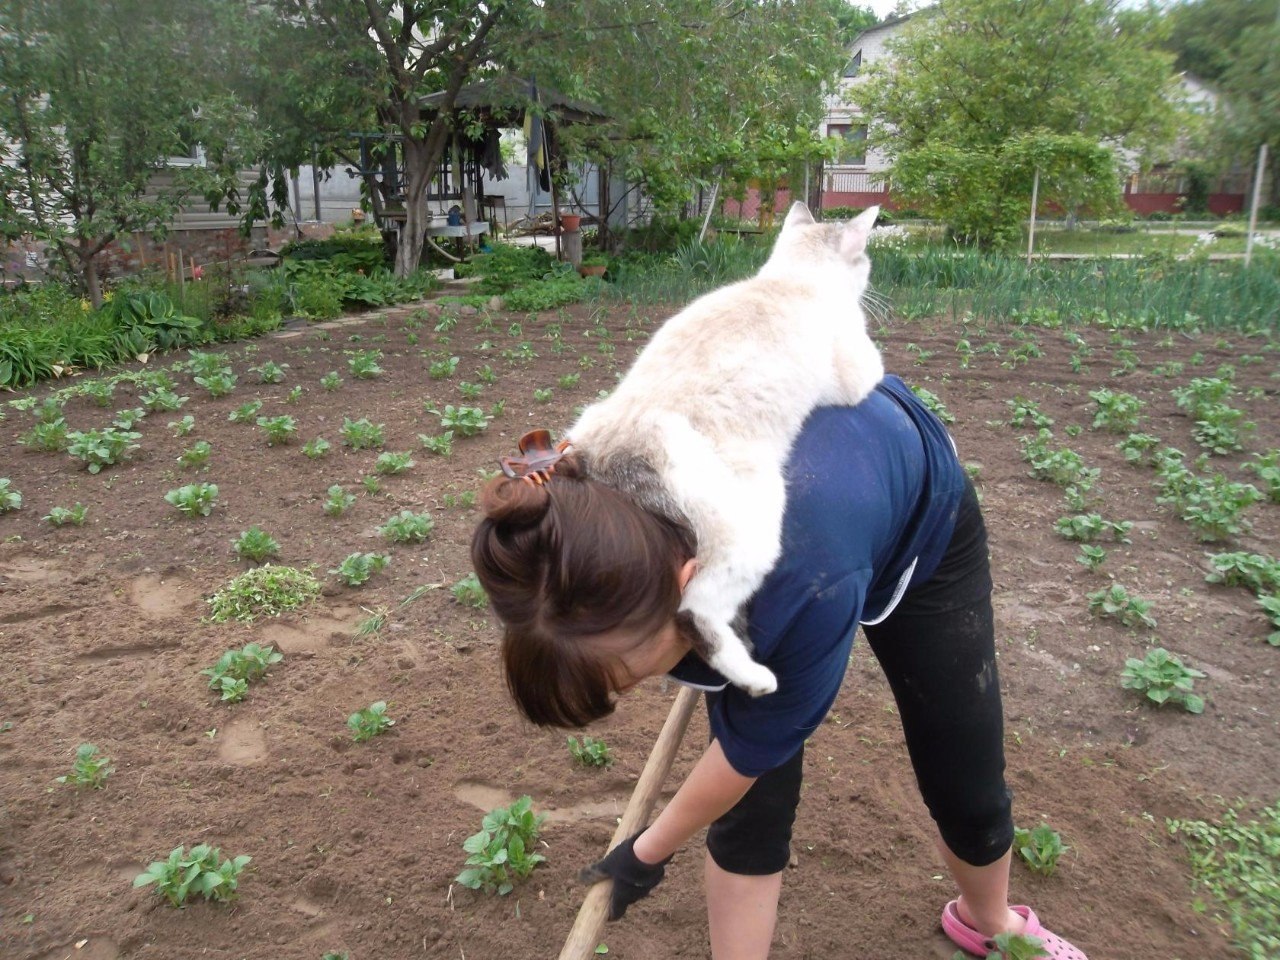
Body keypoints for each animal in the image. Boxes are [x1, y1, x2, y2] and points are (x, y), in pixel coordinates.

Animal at [566, 202, 884, 696]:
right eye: (865, 260)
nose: (870, 277)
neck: (790, 279)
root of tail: (602, 462)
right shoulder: (858, 371)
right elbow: (881, 367)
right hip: (751, 536)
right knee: (693, 612)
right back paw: (756, 679)